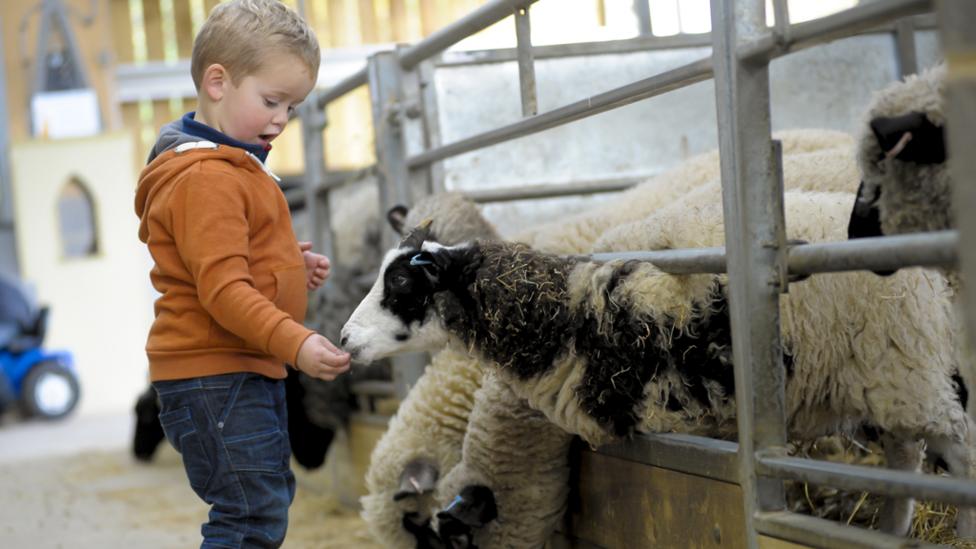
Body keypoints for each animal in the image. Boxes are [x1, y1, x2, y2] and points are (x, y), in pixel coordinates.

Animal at [342, 191, 975, 541]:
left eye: (400, 283)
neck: (563, 317)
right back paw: (894, 529)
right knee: (905, 457)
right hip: (890, 379)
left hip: (913, 367)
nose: (344, 339)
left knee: (958, 452)